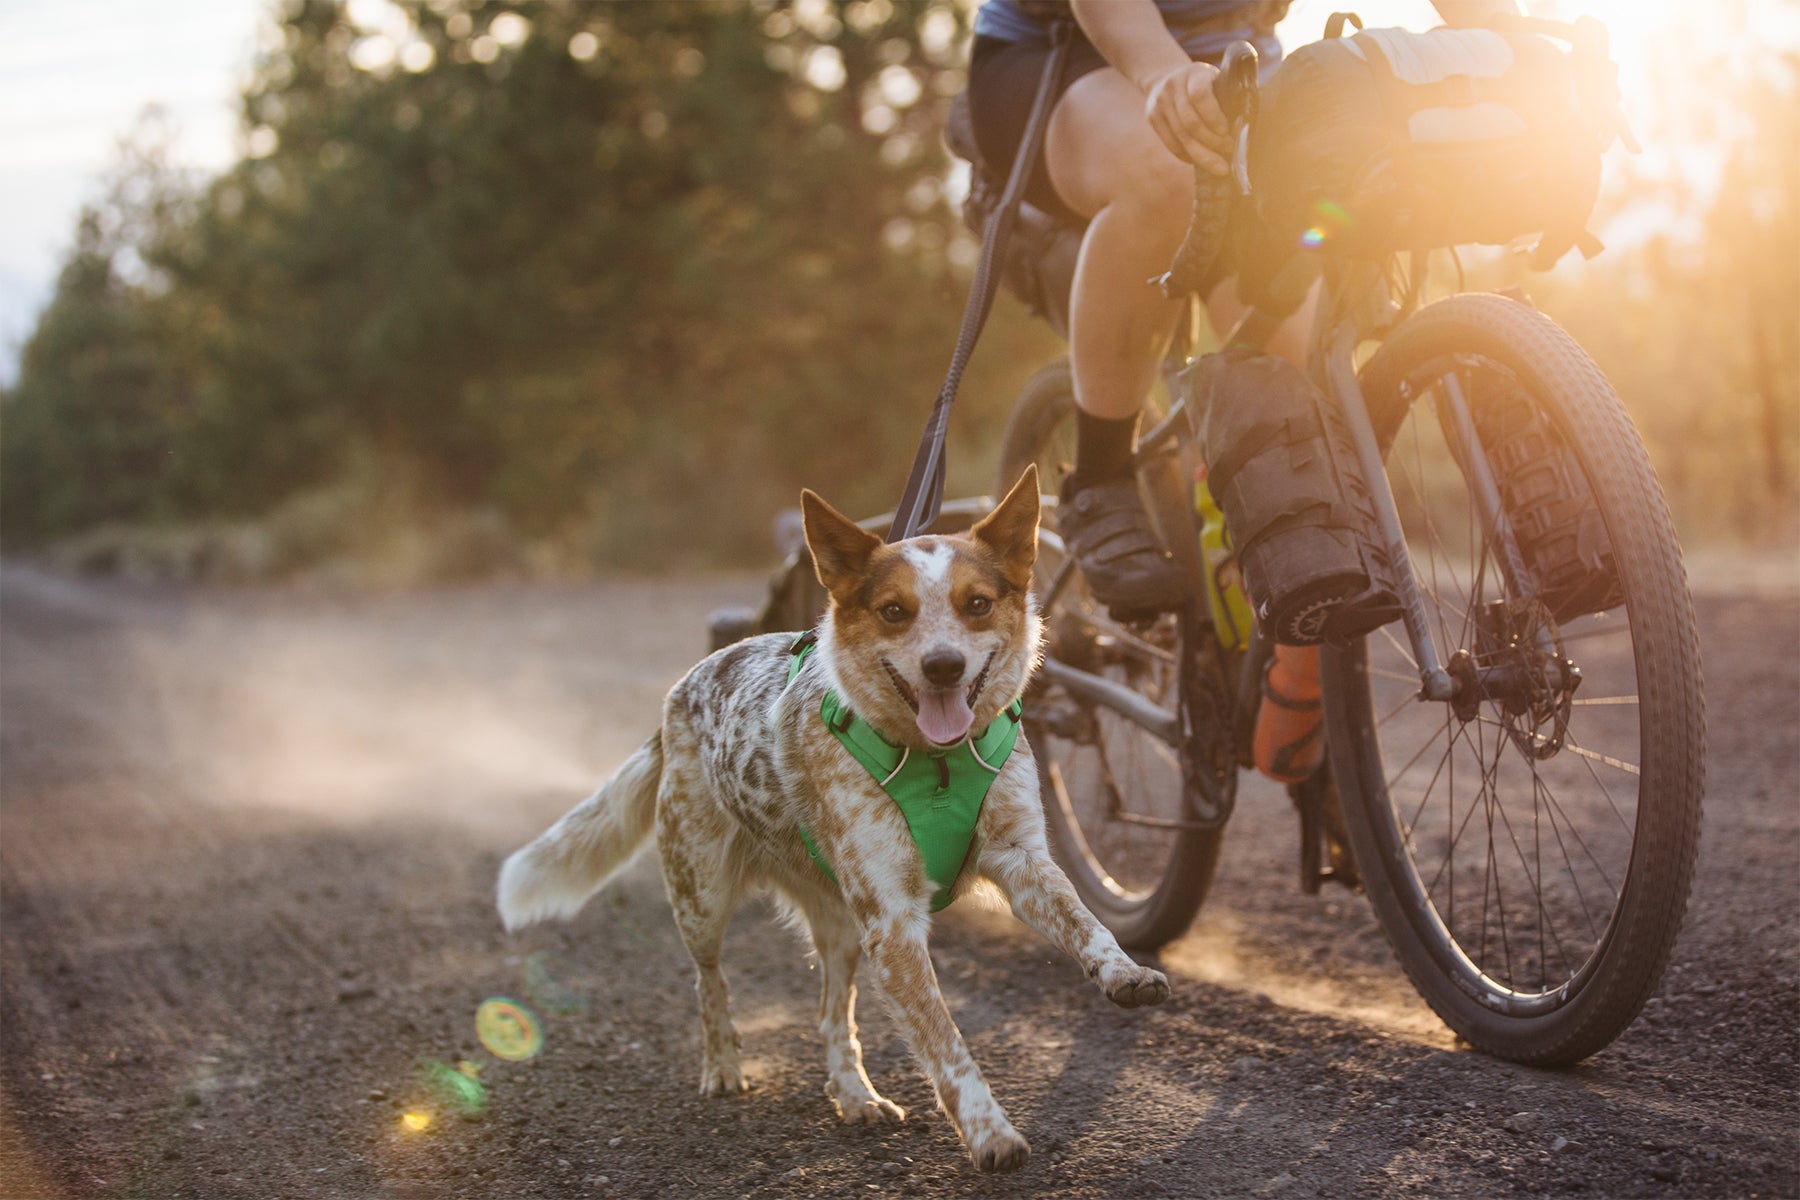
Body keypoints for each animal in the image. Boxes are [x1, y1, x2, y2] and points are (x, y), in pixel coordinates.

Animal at [496, 467, 1166, 1173]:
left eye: (977, 603)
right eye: (894, 610)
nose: (944, 666)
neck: (937, 762)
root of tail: (680, 692)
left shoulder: (1021, 861)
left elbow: (1085, 921)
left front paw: (1124, 971)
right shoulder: (894, 924)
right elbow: (946, 1043)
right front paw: (989, 1131)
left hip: (843, 927)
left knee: (831, 1016)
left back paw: (854, 1094)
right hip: (702, 898)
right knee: (711, 984)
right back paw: (724, 1065)